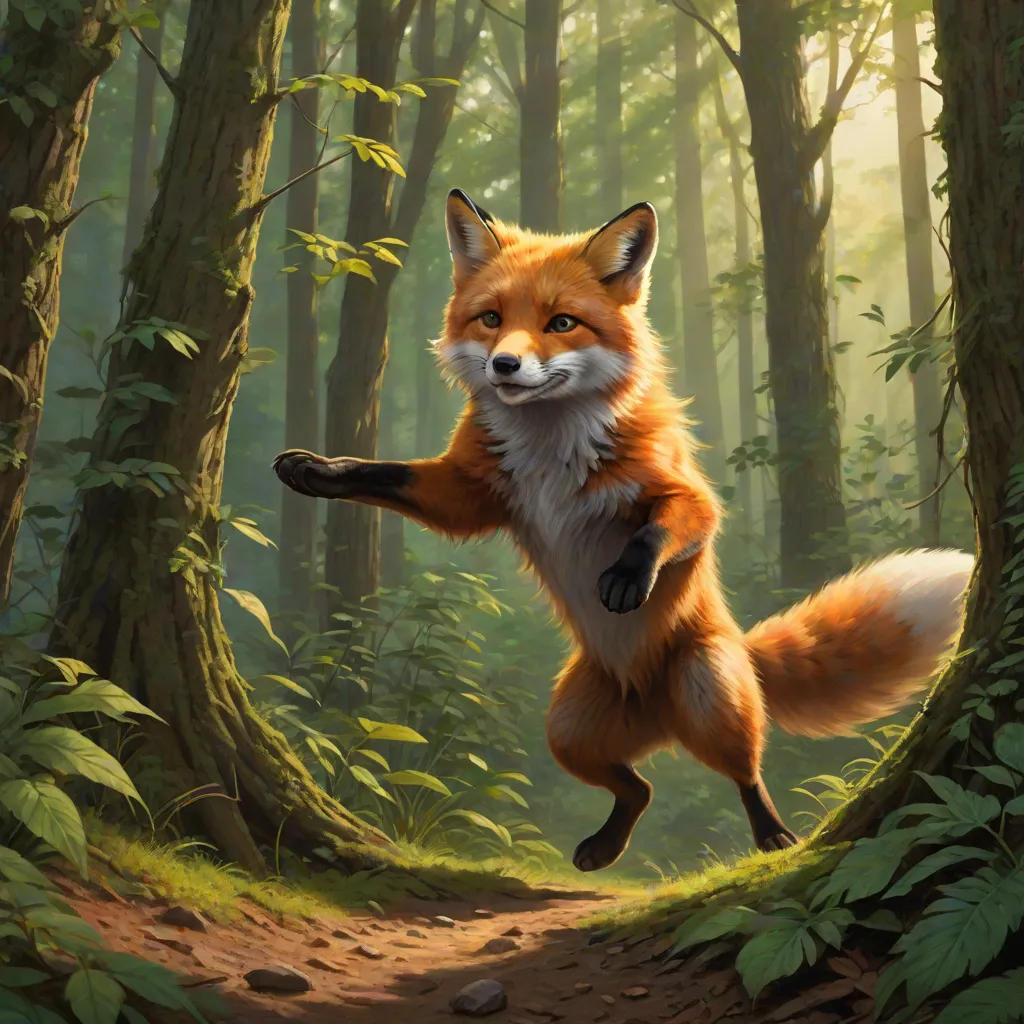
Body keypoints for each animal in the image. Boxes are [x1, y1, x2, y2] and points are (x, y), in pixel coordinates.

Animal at [274, 189, 973, 871]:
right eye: (491, 319)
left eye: (561, 323)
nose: (504, 365)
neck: (550, 447)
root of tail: (655, 714)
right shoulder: (474, 491)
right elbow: (383, 475)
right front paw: (316, 470)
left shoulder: (684, 491)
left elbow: (665, 527)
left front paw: (627, 578)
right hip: (566, 733)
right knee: (640, 788)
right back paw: (605, 846)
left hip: (709, 693)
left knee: (744, 771)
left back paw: (775, 837)